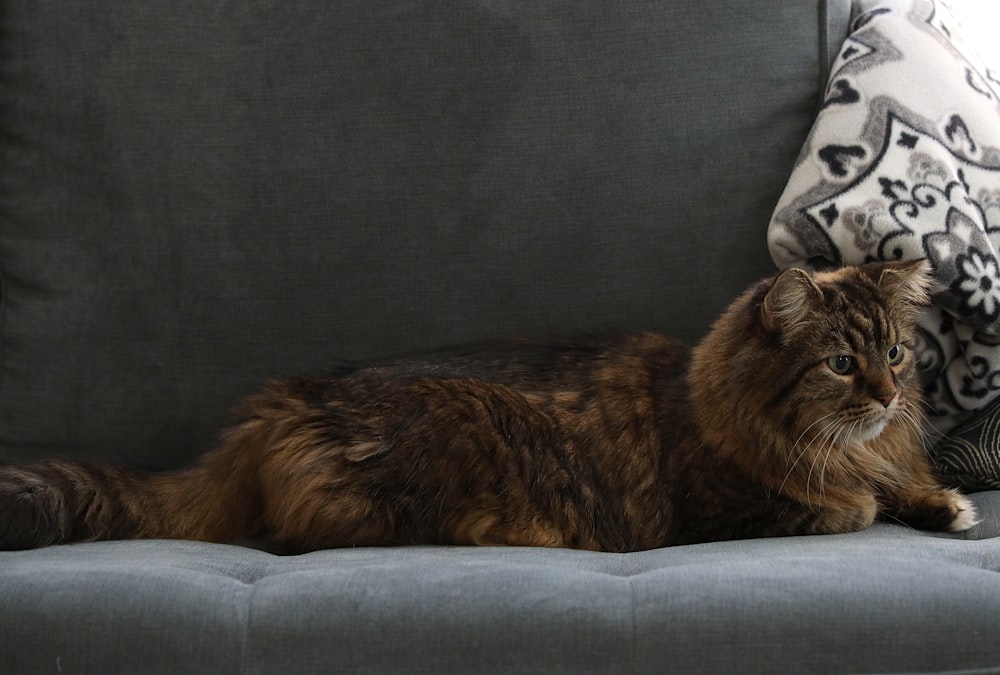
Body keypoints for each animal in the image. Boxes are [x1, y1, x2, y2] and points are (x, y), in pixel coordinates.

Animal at [0, 262, 976, 552]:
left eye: (895, 352)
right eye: (841, 363)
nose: (890, 395)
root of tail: (279, 402)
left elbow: (902, 487)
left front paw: (945, 502)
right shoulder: (721, 506)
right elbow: (847, 506)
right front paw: (880, 499)